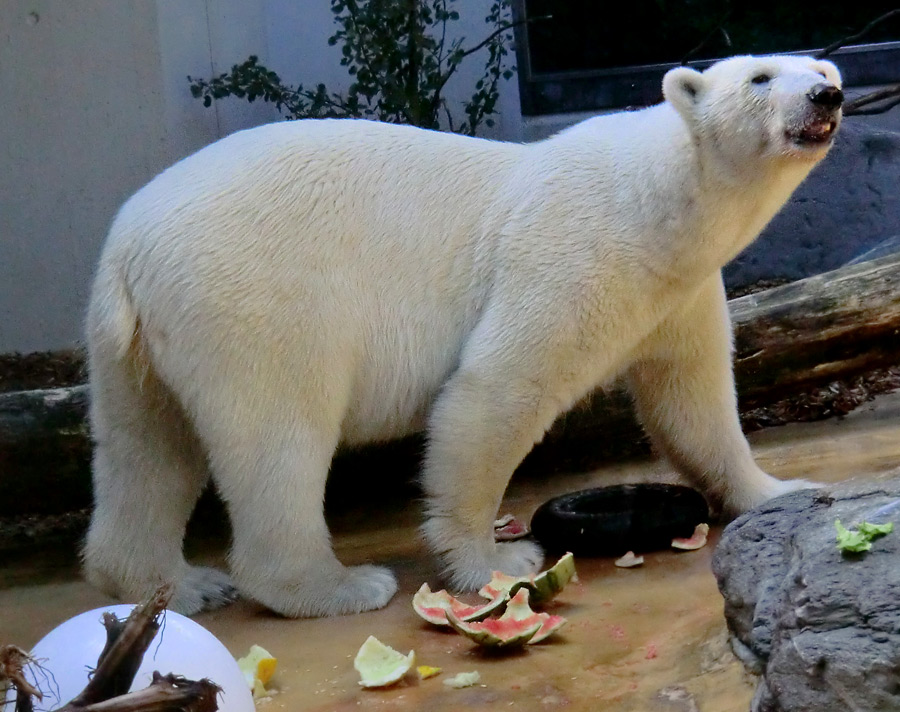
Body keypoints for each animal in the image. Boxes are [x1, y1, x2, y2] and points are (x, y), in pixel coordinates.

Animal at [82, 52, 844, 616]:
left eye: (821, 68)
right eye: (760, 77)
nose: (826, 96)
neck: (660, 201)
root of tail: (127, 249)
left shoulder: (677, 293)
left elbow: (694, 402)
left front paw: (782, 489)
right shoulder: (576, 252)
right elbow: (498, 388)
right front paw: (496, 562)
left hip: (137, 344)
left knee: (148, 448)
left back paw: (177, 583)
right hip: (258, 296)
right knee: (279, 433)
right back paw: (337, 586)